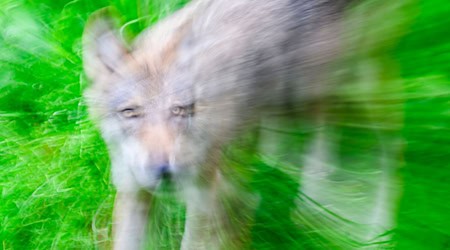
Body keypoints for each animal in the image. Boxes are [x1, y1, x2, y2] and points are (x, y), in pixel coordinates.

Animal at [81, 0, 404, 248]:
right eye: (130, 112)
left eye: (181, 110)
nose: (165, 171)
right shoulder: (133, 192)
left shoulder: (207, 202)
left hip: (328, 91)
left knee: (384, 138)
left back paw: (370, 228)